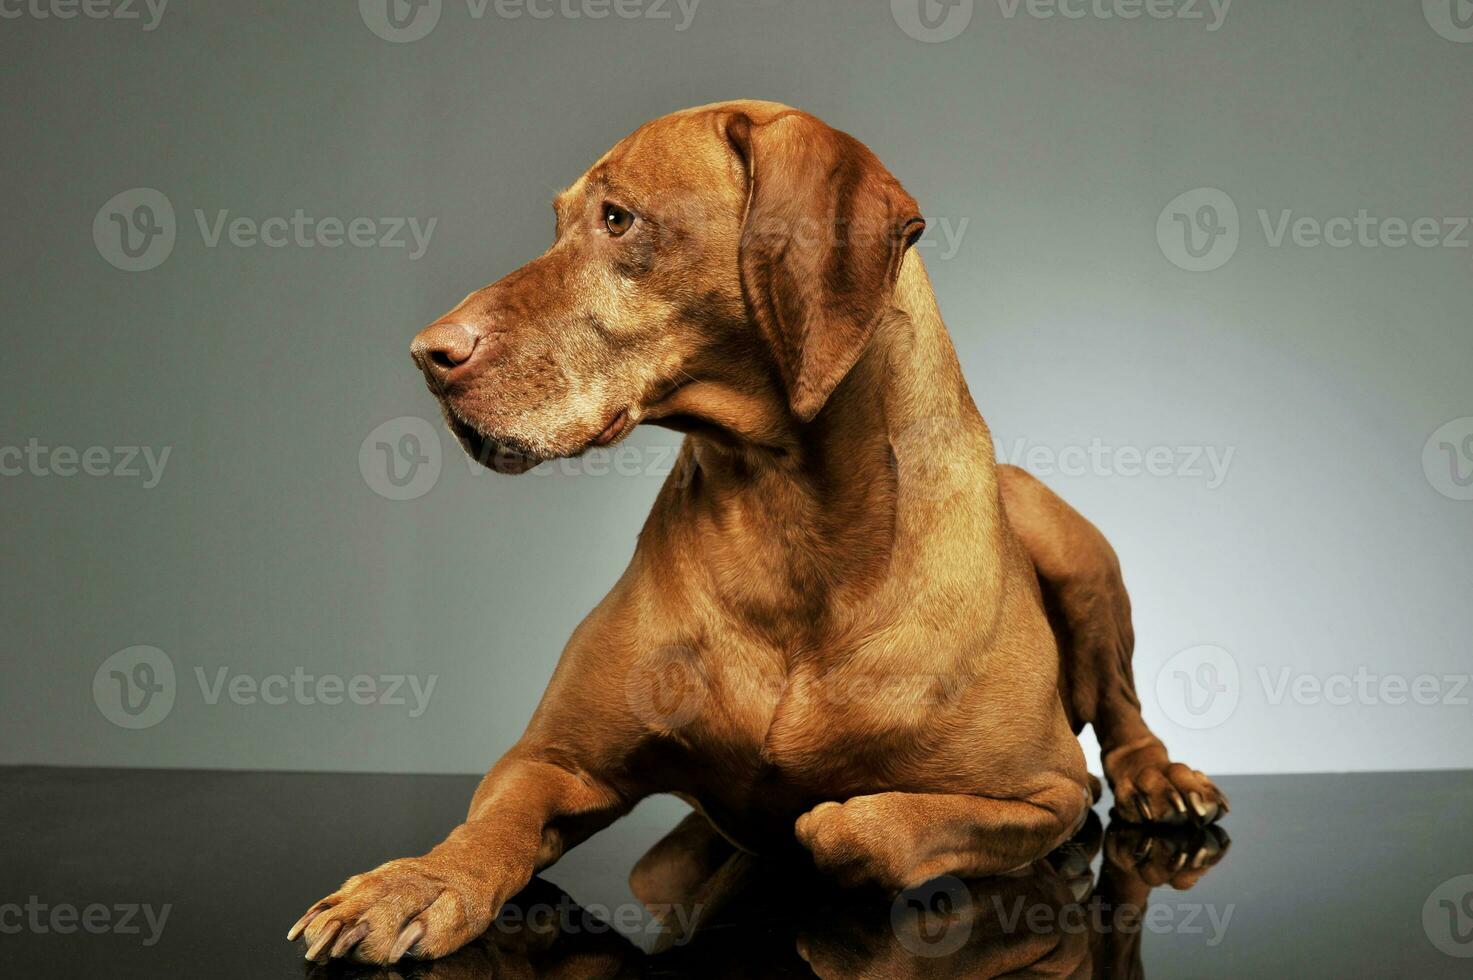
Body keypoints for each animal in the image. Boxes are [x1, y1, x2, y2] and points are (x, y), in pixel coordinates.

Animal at [287, 100, 1231, 960]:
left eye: (617, 218)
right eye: (557, 223)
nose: (426, 354)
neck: (792, 527)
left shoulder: (1044, 792)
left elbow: (850, 827)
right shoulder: (550, 760)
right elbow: (490, 827)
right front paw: (414, 884)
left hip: (1072, 551)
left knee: (1118, 705)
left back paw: (1160, 778)